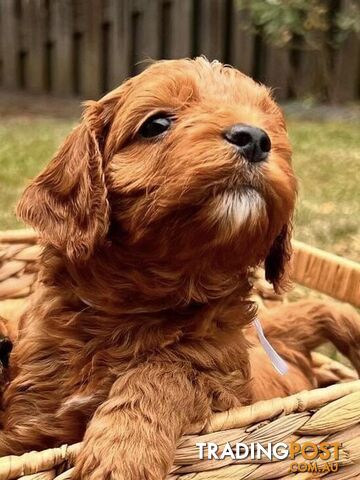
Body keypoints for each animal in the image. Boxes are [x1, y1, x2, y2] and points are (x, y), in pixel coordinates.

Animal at [0, 58, 360, 478]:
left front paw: (121, 457)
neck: (142, 299)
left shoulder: (222, 377)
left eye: (271, 128)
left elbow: (167, 370)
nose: (255, 138)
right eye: (155, 124)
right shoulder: (30, 420)